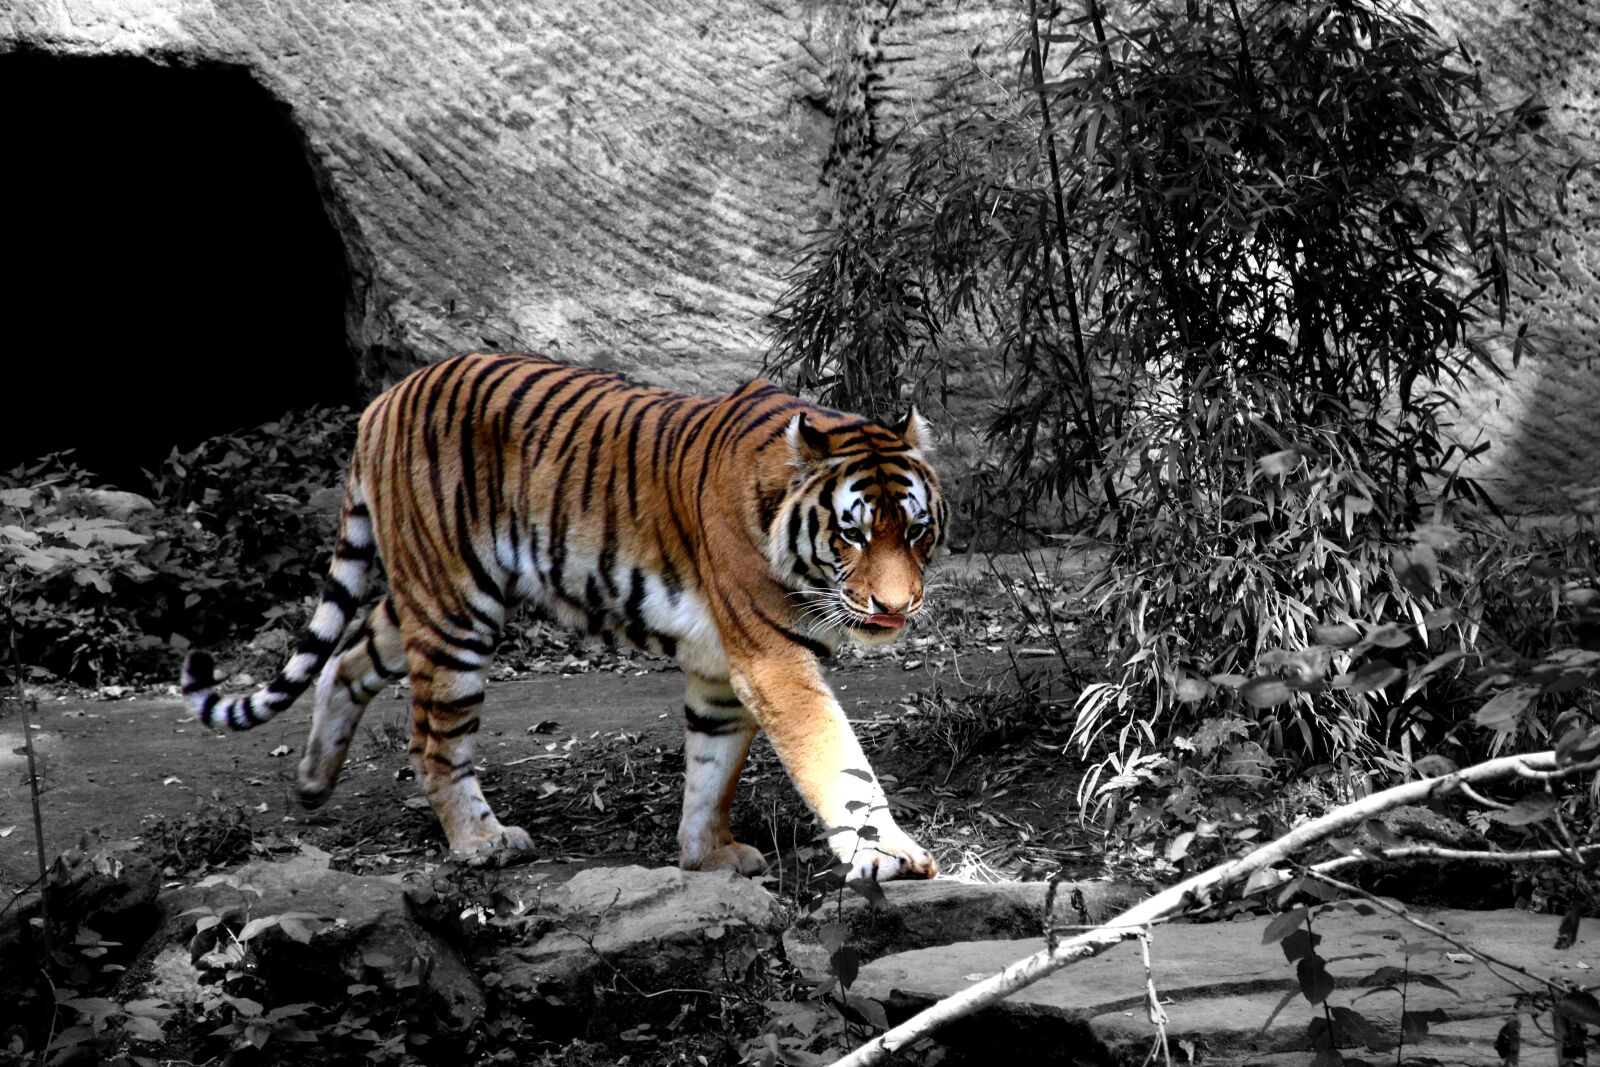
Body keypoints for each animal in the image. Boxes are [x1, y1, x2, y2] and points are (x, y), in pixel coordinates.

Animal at [181, 353, 945, 882]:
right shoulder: (771, 656)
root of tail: (383, 401)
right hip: (455, 608)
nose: (895, 606)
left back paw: (314, 779)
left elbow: (712, 765)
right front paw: (888, 854)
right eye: (851, 534)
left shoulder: (721, 666)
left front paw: (707, 854)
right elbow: (836, 759)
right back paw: (481, 843)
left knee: (345, 658)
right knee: (433, 742)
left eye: (913, 531)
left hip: (420, 597)